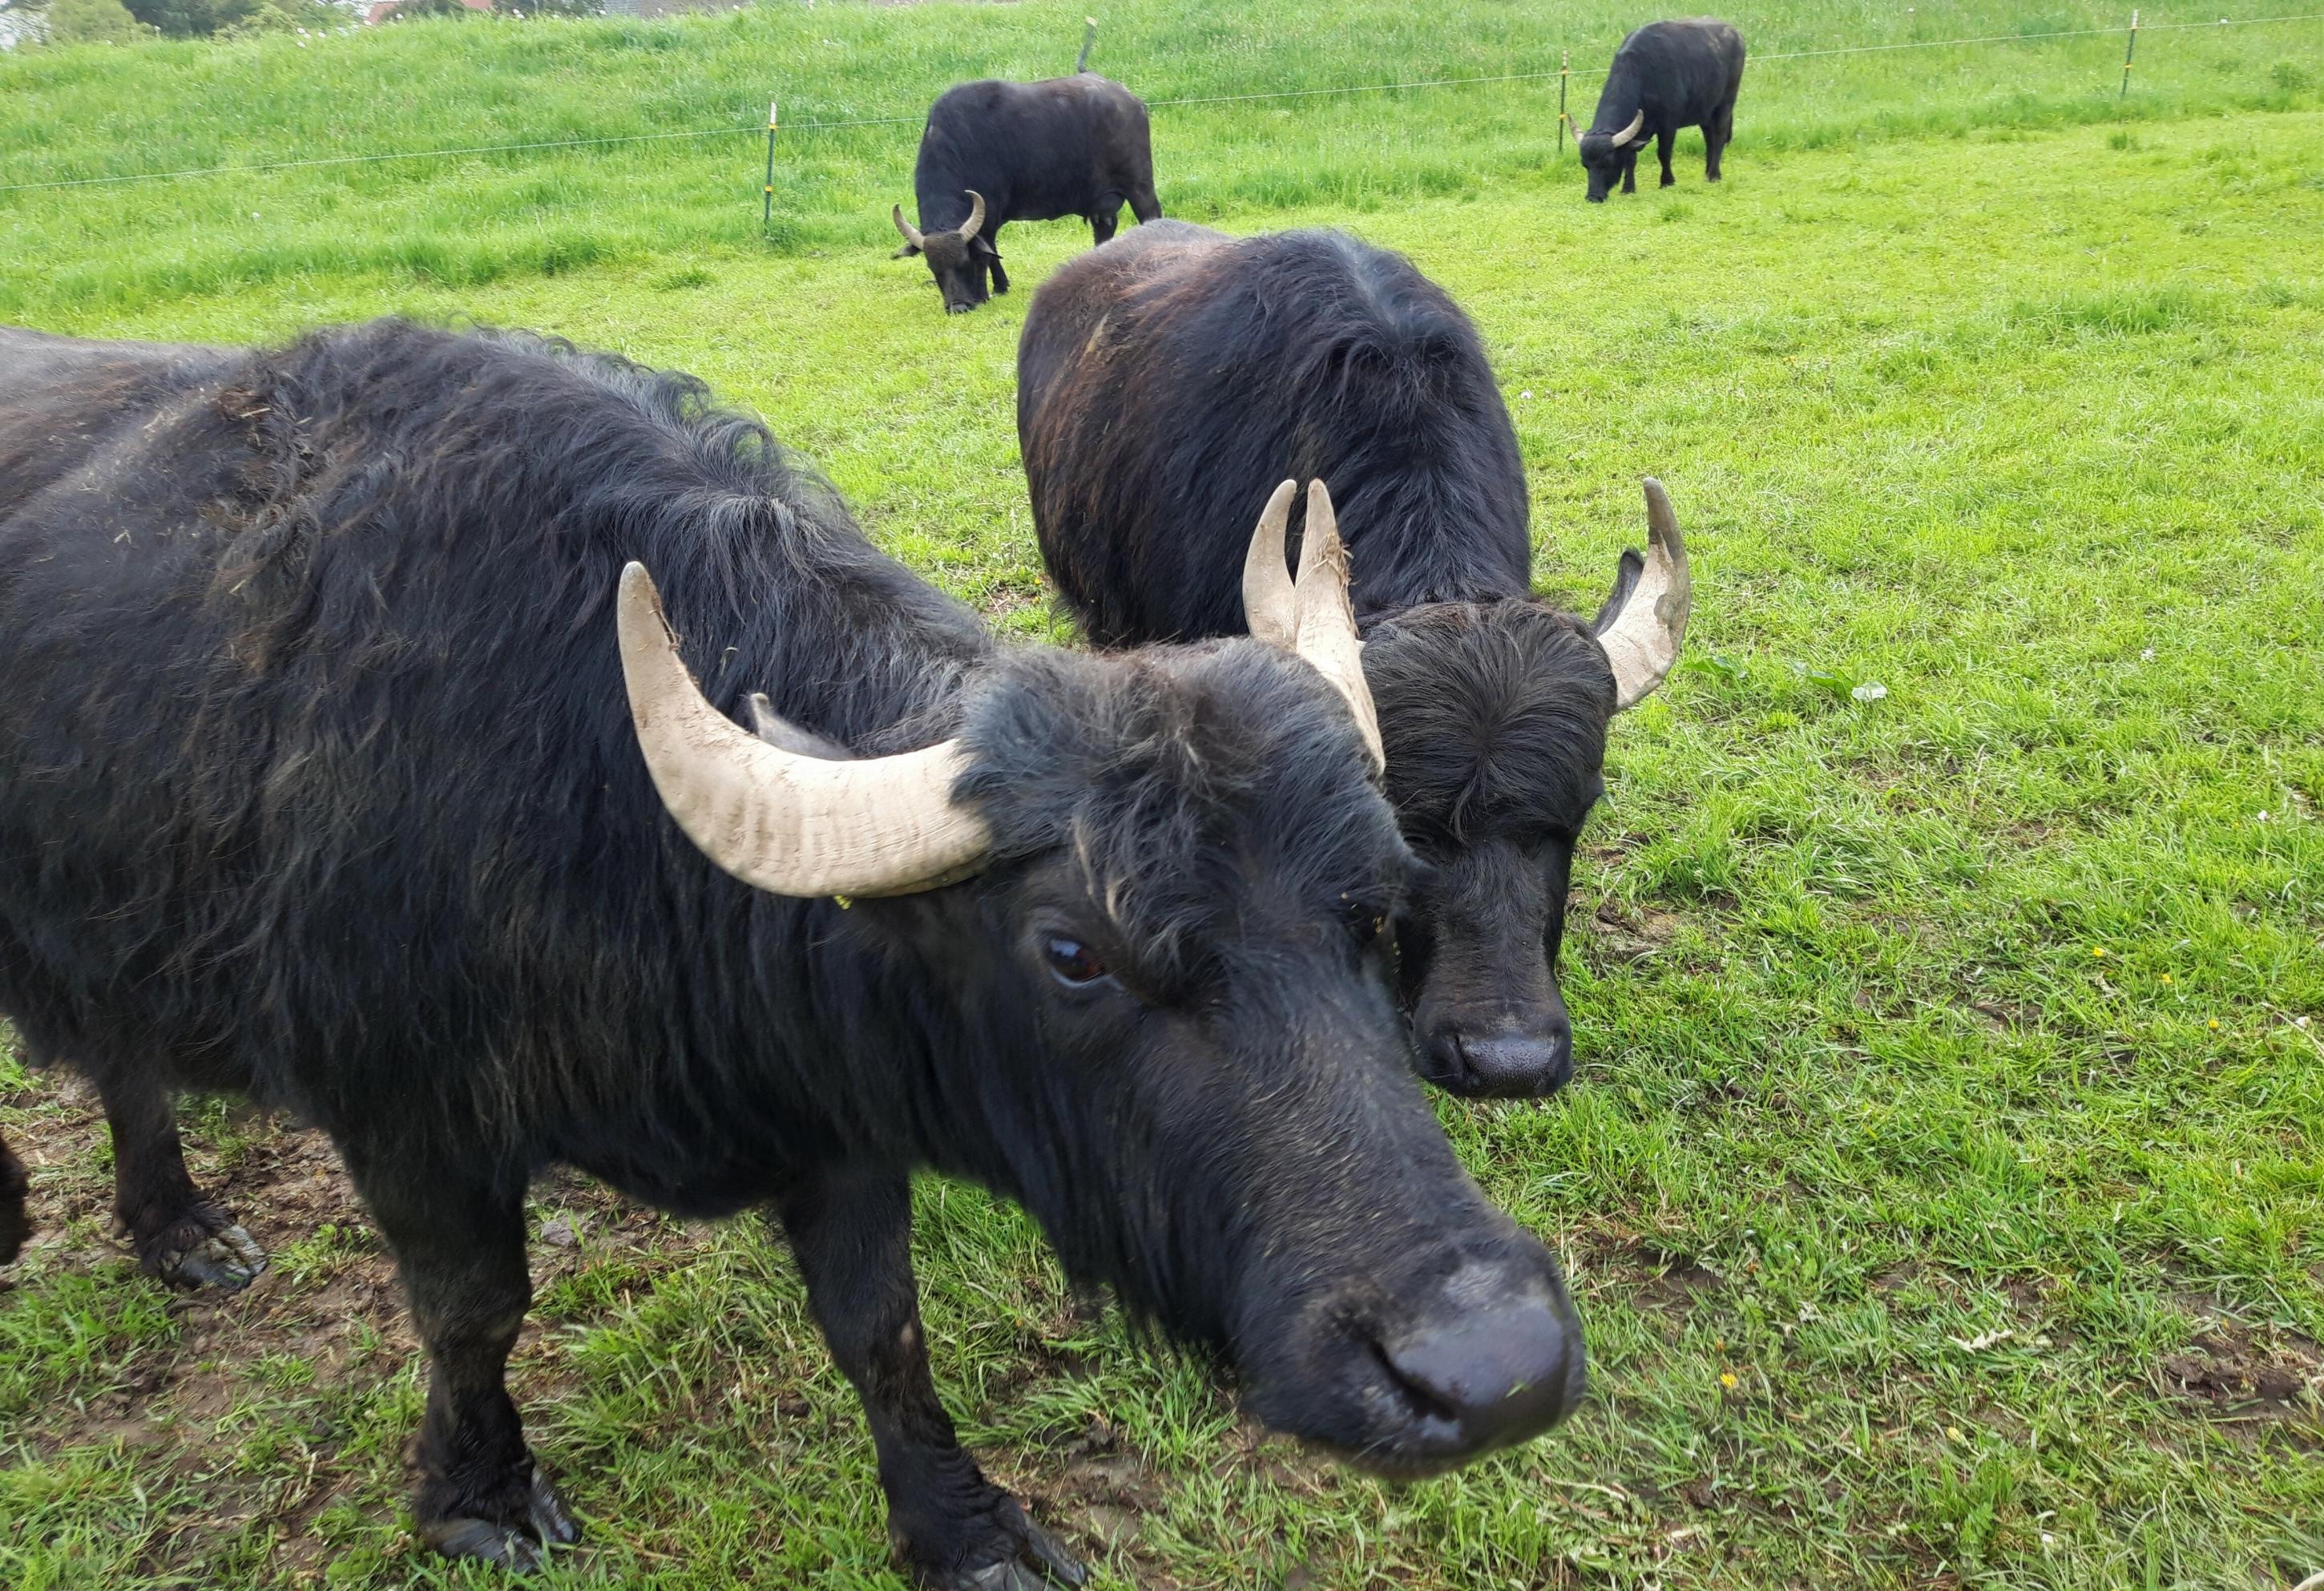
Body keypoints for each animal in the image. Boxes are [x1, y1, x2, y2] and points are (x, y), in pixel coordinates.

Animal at [0, 321, 1580, 1581]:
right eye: (1075, 952)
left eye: (1376, 907)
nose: (1492, 1362)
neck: (599, 792)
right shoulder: (408, 1119)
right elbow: (472, 1313)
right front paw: (476, 1497)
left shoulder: (843, 1114)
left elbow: (882, 1327)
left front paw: (963, 1528)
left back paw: (174, 1226)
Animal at [887, 71, 1162, 313]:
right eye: (932, 267)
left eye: (965, 261)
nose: (959, 307)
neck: (961, 146)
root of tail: (1130, 99)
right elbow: (993, 251)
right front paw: (1000, 287)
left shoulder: (989, 214)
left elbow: (986, 253)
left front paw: (984, 293)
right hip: (1100, 203)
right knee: (1104, 229)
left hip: (1140, 185)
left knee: (1151, 216)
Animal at [1580, 18, 1747, 202]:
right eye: (1585, 165)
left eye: (1608, 162)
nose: (1593, 197)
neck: (1643, 74)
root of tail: (1736, 34)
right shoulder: (1637, 131)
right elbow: (1630, 158)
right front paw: (1628, 188)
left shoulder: (1668, 125)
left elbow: (1664, 153)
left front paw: (1667, 182)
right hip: (1706, 111)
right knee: (1709, 138)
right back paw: (1709, 171)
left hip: (1725, 103)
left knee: (1719, 136)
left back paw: (1713, 176)